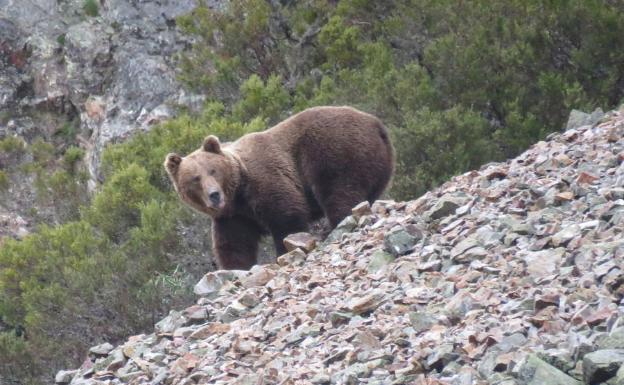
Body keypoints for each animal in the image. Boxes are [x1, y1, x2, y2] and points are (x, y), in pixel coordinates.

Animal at [163, 104, 392, 268]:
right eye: (195, 178)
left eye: (213, 170)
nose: (214, 195)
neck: (238, 193)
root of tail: (375, 123)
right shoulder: (233, 216)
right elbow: (233, 245)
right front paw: (235, 268)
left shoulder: (265, 180)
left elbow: (286, 217)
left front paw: (286, 251)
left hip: (335, 151)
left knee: (339, 192)